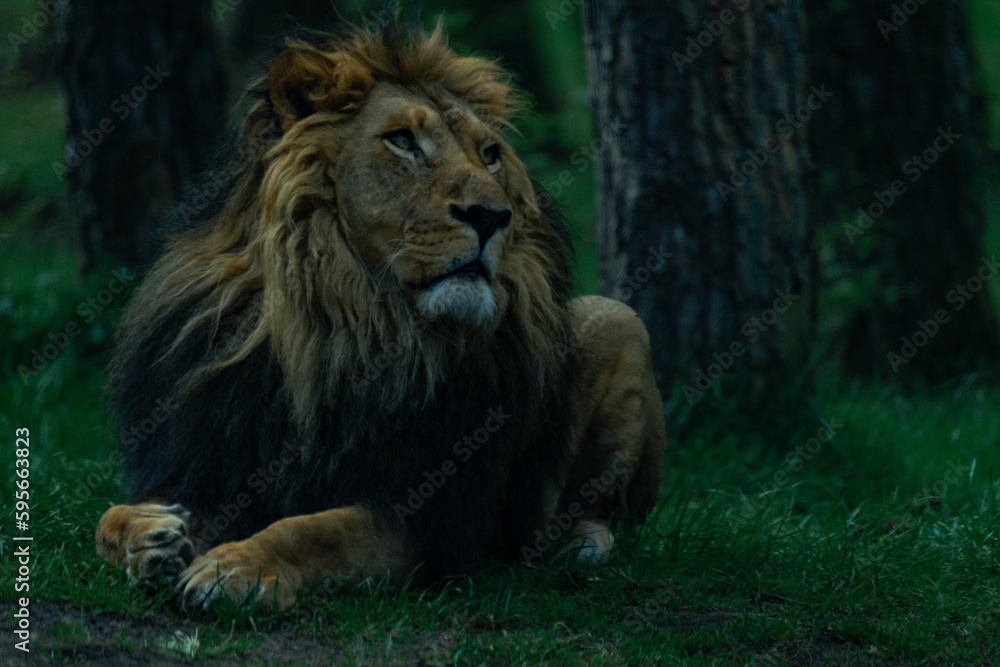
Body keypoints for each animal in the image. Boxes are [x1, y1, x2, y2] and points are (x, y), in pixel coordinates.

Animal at [95, 19, 667, 612]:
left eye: (489, 154)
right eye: (403, 141)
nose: (493, 216)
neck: (345, 324)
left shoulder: (427, 514)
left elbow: (316, 530)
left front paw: (236, 567)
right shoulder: (213, 466)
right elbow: (105, 519)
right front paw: (150, 536)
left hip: (618, 319)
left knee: (600, 507)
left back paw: (580, 546)